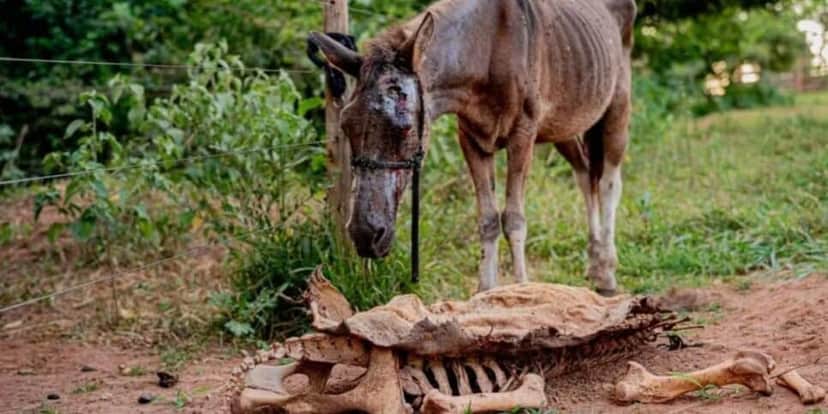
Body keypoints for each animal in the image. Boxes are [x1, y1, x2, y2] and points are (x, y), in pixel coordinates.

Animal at [309, 0, 636, 295]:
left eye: (406, 127)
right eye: (345, 125)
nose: (365, 235)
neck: (485, 54)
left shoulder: (523, 133)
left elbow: (514, 219)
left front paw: (523, 291)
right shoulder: (471, 137)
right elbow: (488, 219)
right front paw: (485, 294)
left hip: (617, 106)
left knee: (609, 183)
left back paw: (607, 275)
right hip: (564, 124)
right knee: (585, 175)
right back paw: (595, 266)